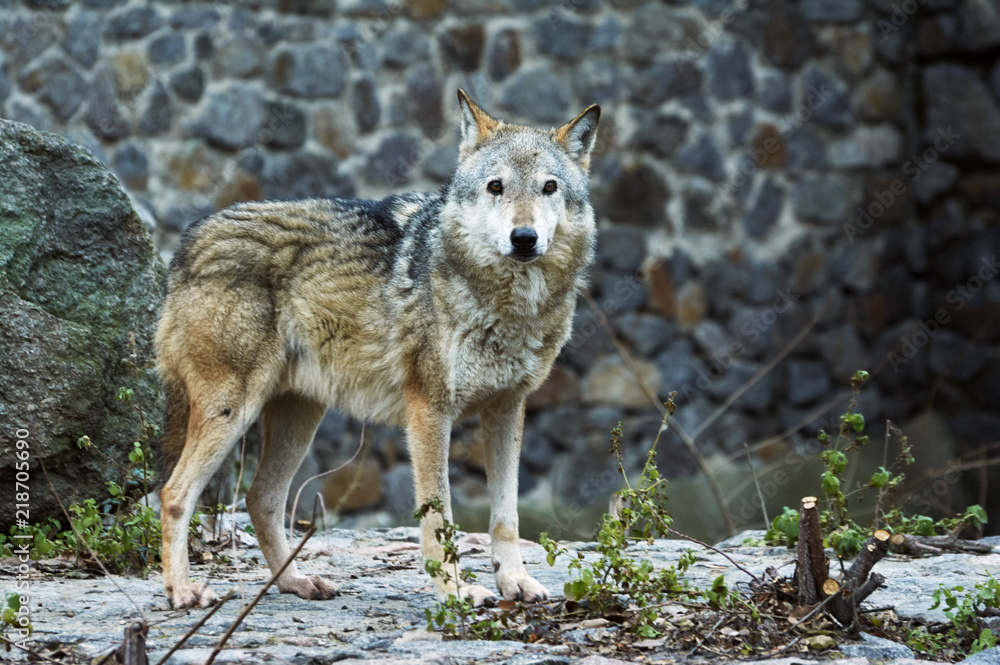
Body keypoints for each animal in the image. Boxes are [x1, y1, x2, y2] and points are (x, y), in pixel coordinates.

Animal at [155, 90, 601, 609]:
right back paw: (183, 590)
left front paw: (516, 582)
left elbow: (505, 516)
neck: (506, 302)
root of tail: (187, 243)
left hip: (299, 419)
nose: (524, 238)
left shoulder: (508, 409)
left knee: (260, 499)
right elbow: (439, 516)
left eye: (549, 187)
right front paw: (454, 589)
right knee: (174, 494)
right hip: (232, 411)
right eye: (496, 186)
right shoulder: (429, 410)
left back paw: (295, 583)